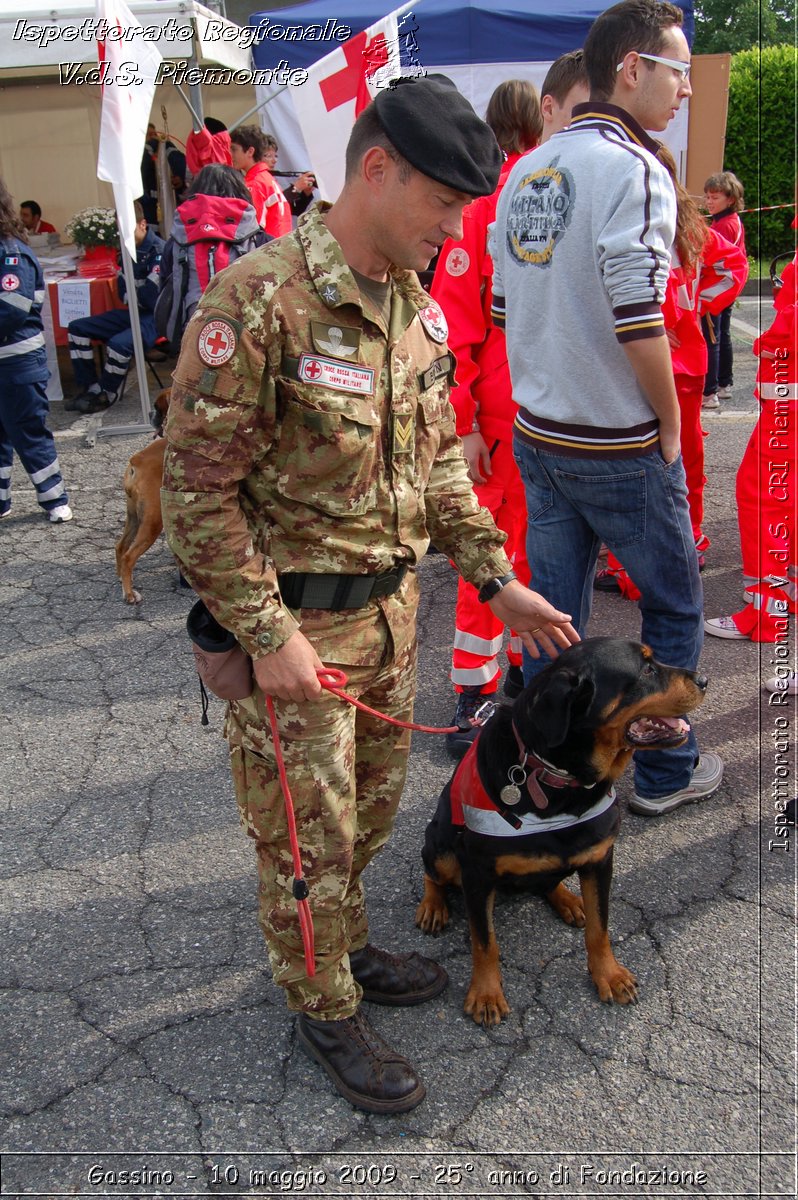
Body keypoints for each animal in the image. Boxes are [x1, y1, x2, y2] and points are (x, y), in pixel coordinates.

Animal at [113, 388, 169, 604]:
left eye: (158, 408)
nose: (150, 414)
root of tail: (137, 459)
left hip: (135, 517)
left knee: (120, 547)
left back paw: (122, 579)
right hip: (153, 521)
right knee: (129, 555)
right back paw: (129, 594)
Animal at [412, 638, 705, 1022]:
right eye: (646, 669)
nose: (703, 680)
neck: (557, 778)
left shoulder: (600, 860)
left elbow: (600, 927)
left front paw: (608, 974)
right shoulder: (476, 872)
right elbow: (485, 942)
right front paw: (487, 993)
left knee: (550, 883)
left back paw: (569, 900)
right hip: (441, 845)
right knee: (432, 873)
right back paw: (433, 906)